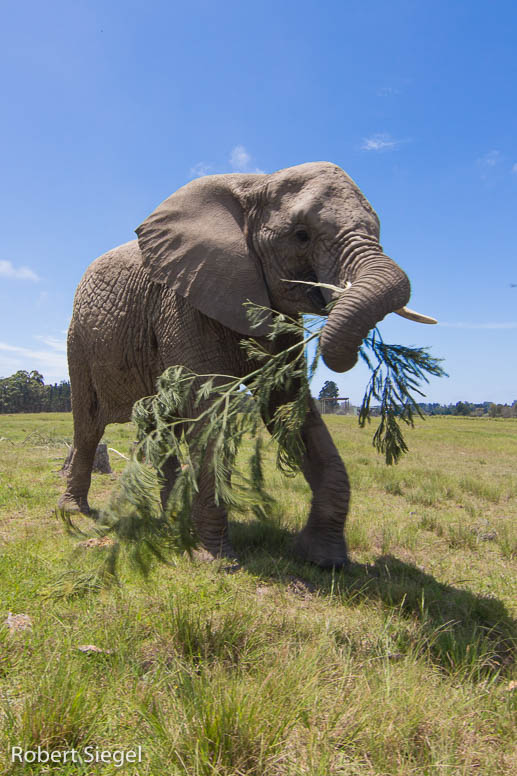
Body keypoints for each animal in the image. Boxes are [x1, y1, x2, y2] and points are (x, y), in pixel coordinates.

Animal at [59, 161, 434, 568]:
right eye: (301, 235)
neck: (257, 183)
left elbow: (287, 404)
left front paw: (324, 560)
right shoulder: (182, 302)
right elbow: (207, 407)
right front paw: (217, 561)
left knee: (162, 426)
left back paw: (171, 518)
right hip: (78, 342)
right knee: (89, 424)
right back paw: (74, 511)